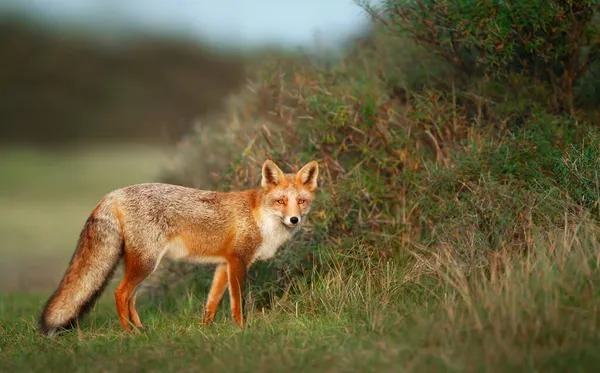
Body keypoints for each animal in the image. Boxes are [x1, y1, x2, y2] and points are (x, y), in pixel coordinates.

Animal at [38, 158, 318, 336]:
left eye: (301, 202)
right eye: (281, 201)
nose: (294, 220)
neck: (260, 219)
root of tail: (114, 193)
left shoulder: (222, 264)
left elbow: (211, 304)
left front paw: (206, 332)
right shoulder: (238, 261)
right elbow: (237, 303)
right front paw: (242, 331)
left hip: (143, 264)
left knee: (131, 297)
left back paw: (141, 330)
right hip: (146, 263)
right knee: (120, 293)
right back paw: (128, 333)